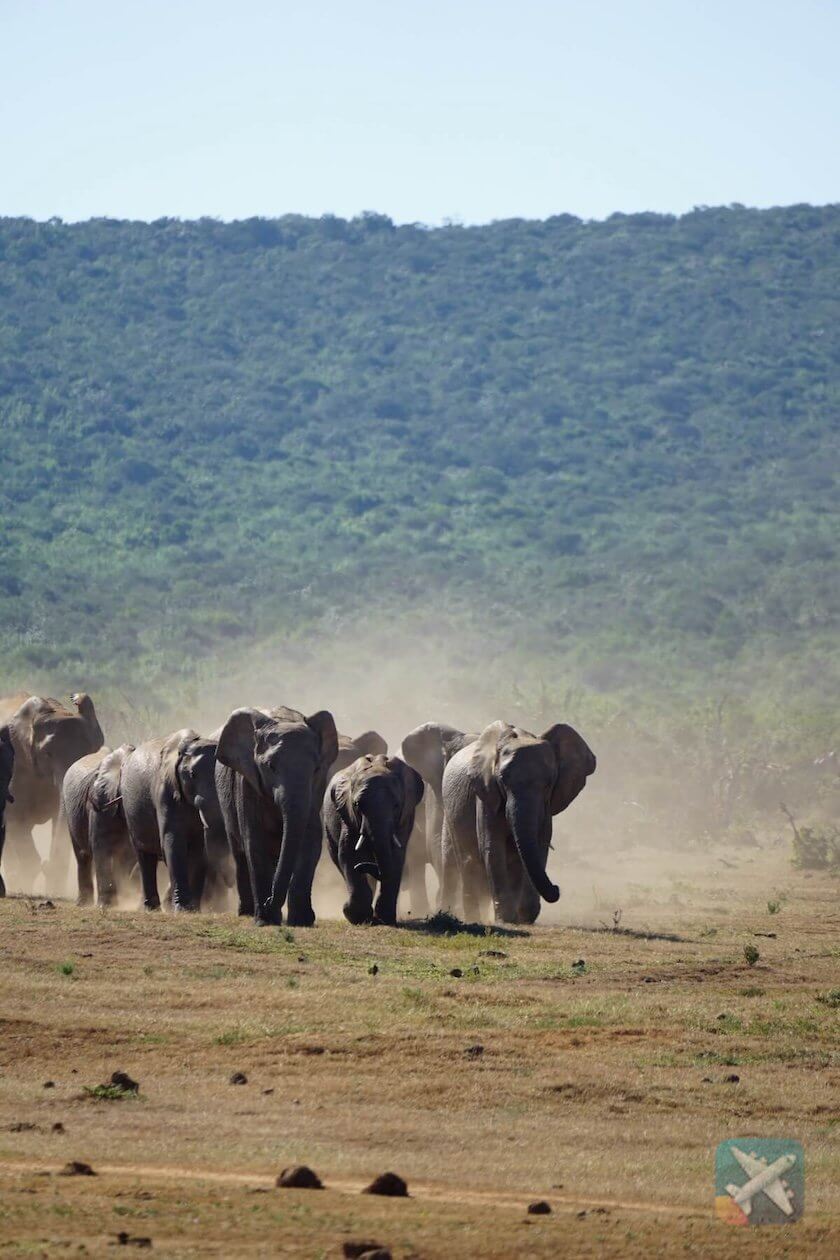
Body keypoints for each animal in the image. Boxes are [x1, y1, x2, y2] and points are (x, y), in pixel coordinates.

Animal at [61, 745, 136, 907]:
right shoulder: (100, 804)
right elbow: (102, 848)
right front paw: (106, 905)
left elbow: (128, 855)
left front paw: (124, 899)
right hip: (70, 814)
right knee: (82, 856)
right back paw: (83, 903)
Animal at [121, 729, 226, 912]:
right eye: (192, 775)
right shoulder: (165, 792)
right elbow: (173, 842)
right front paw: (182, 909)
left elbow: (199, 849)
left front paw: (194, 910)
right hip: (130, 811)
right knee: (144, 856)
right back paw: (151, 908)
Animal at [215, 705, 338, 926]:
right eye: (270, 767)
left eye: (315, 769)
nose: (269, 901)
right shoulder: (247, 782)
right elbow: (254, 842)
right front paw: (265, 920)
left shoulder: (316, 789)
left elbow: (310, 841)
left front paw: (301, 921)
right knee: (239, 854)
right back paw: (246, 913)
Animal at [324, 754, 424, 925]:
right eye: (357, 805)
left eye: (396, 805)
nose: (362, 867)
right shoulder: (348, 816)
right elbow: (348, 855)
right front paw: (357, 916)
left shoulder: (405, 818)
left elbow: (396, 857)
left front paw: (385, 920)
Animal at [441, 720, 596, 924]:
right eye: (502, 780)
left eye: (549, 783)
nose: (557, 889)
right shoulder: (486, 794)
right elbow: (492, 848)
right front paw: (505, 918)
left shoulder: (546, 807)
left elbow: (539, 846)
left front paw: (524, 918)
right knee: (468, 862)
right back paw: (473, 917)